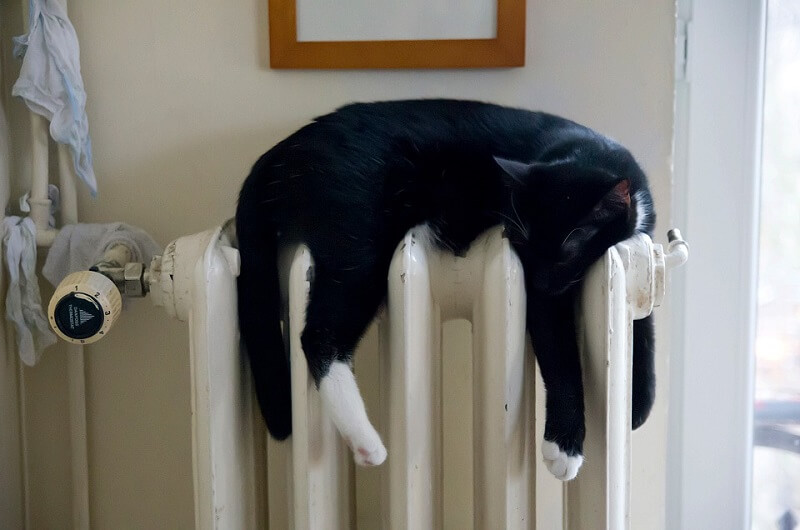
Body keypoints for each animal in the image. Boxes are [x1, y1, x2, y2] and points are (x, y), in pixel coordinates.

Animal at [234, 98, 652, 478]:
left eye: (566, 252)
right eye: (522, 242)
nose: (540, 281)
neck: (588, 149)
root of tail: (284, 149)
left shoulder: (636, 252)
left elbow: (643, 323)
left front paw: (637, 406)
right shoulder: (540, 298)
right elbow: (559, 353)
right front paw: (564, 450)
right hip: (358, 242)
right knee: (319, 335)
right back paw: (366, 442)